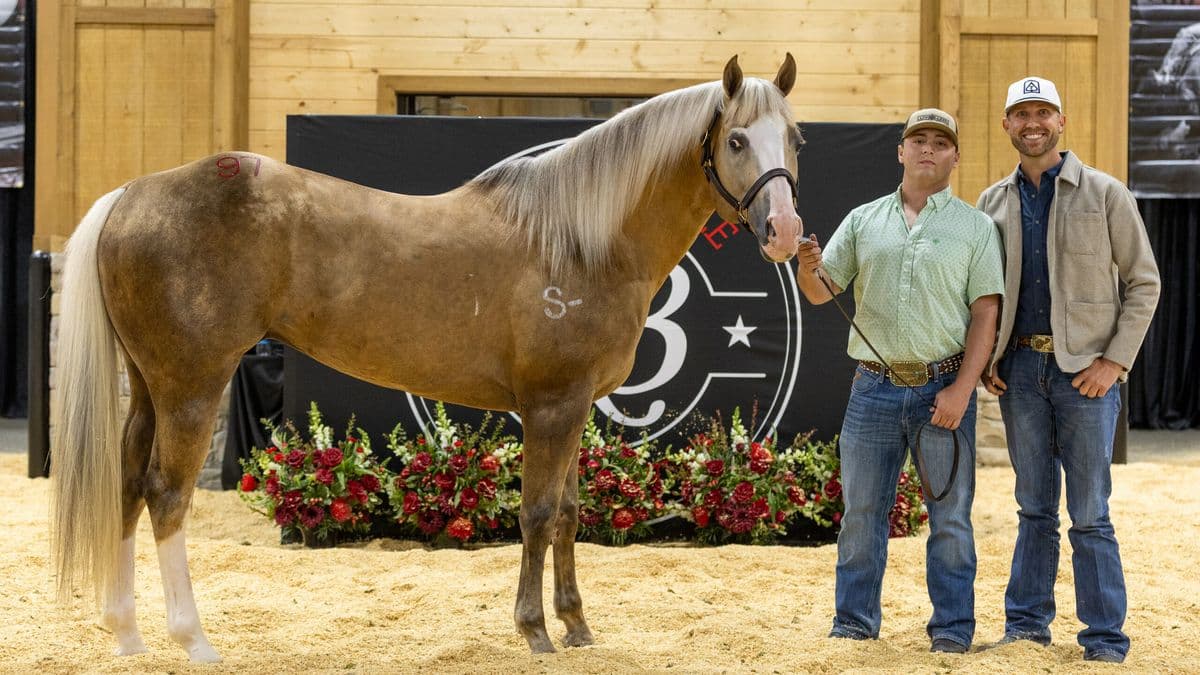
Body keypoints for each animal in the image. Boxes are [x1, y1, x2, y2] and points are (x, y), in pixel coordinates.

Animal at [49, 54, 805, 662]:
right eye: (736, 138)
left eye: (795, 139)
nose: (784, 230)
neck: (580, 242)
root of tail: (130, 195)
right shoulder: (551, 406)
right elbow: (536, 513)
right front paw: (535, 630)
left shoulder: (576, 407)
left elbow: (567, 511)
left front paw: (577, 626)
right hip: (192, 385)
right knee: (166, 494)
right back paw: (193, 639)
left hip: (149, 386)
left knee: (126, 484)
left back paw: (127, 634)